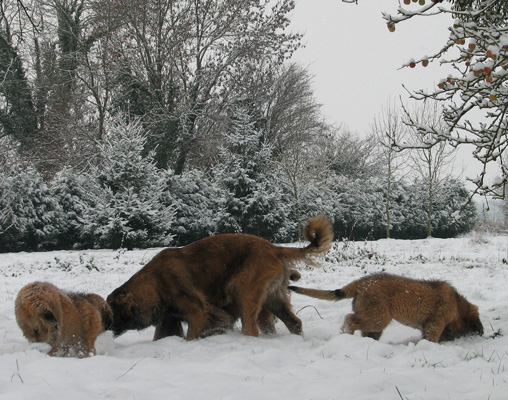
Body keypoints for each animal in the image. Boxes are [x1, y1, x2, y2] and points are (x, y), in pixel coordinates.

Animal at [107, 214, 334, 340]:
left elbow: (193, 334)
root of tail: (275, 249)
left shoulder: (197, 313)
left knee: (251, 328)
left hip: (244, 292)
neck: (155, 283)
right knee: (294, 323)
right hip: (272, 299)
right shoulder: (169, 319)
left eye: (113, 311)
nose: (106, 327)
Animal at [290, 274, 484, 342]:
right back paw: (348, 333)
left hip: (374, 322)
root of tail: (361, 284)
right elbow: (432, 337)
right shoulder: (435, 323)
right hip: (378, 318)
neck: (458, 305)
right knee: (350, 319)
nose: (481, 334)